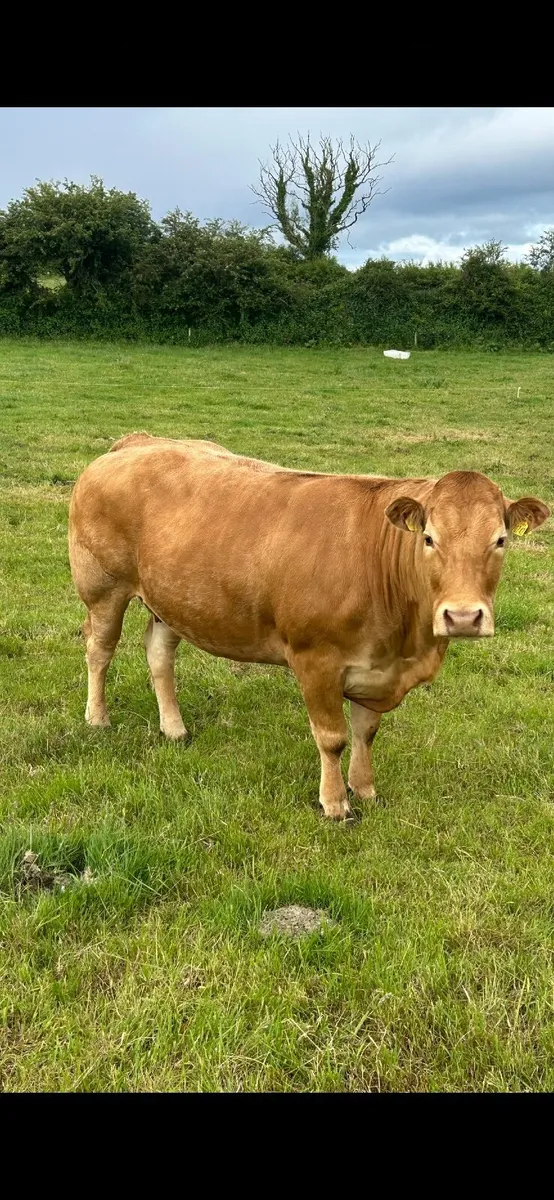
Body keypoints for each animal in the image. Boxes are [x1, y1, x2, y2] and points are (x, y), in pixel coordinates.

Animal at [68, 432, 550, 820]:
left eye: (501, 540)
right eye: (429, 538)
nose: (463, 617)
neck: (405, 644)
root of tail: (137, 441)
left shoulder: (376, 669)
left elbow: (366, 732)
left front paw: (365, 789)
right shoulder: (315, 660)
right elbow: (332, 737)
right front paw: (335, 803)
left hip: (173, 598)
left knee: (158, 653)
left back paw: (174, 728)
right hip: (102, 587)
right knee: (99, 650)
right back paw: (97, 718)